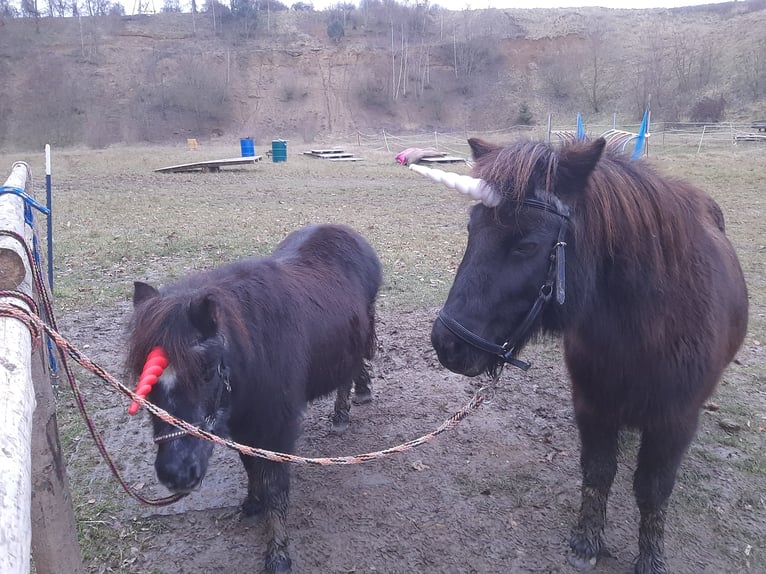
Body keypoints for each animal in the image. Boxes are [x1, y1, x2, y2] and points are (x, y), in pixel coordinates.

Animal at [125, 225, 384, 574]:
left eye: (207, 371)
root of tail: (346, 232)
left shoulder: (277, 428)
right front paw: (253, 503)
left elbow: (275, 485)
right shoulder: (242, 425)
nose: (176, 474)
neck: (253, 354)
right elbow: (250, 466)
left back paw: (346, 411)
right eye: (145, 378)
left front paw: (278, 555)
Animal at [426, 140, 752, 574]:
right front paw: (587, 541)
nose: (447, 344)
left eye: (526, 245)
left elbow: (653, 490)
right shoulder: (593, 405)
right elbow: (598, 473)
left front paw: (651, 558)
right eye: (470, 230)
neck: (646, 326)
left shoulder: (675, 419)